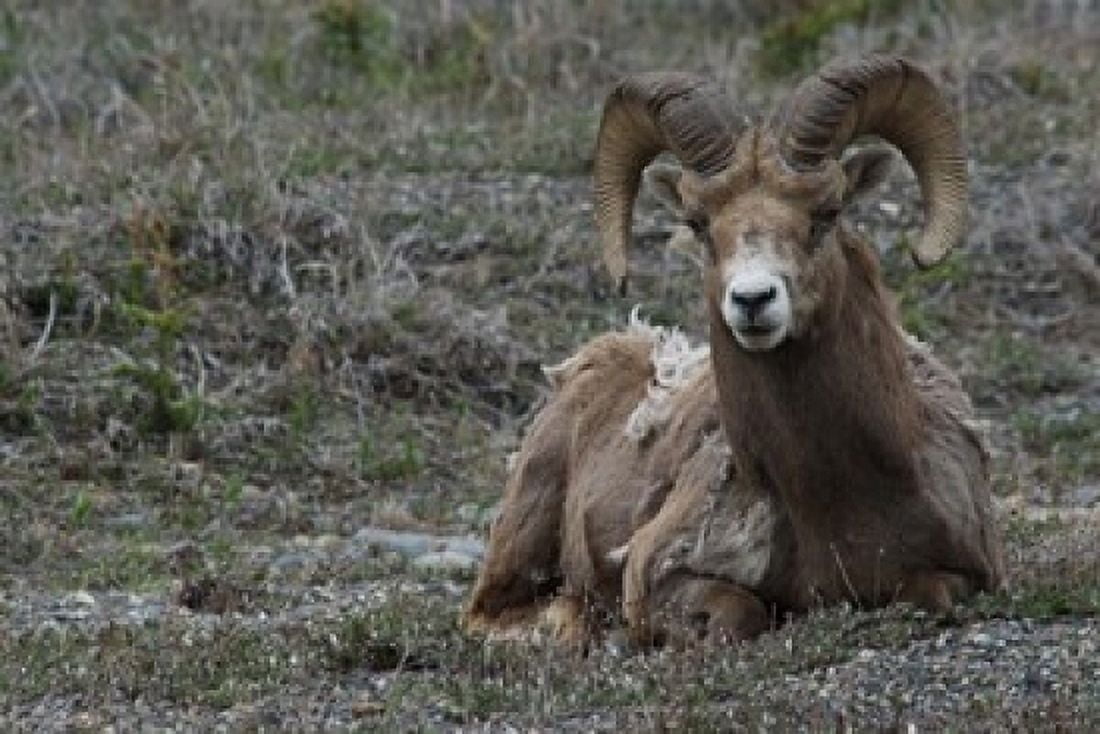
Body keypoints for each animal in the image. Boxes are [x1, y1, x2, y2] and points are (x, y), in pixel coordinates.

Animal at [464, 56, 1005, 646]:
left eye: (826, 213)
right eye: (699, 224)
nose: (752, 300)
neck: (834, 497)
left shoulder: (969, 574)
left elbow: (930, 594)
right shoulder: (656, 574)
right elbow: (737, 614)